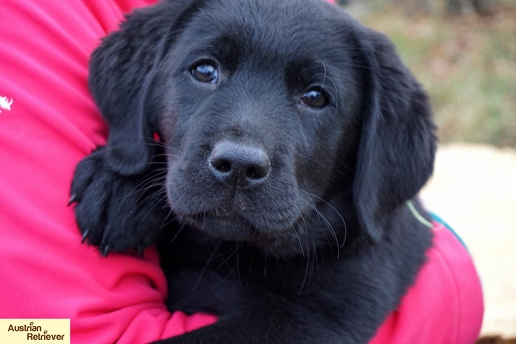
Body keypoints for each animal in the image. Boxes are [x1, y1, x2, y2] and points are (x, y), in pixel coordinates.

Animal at [70, 0, 438, 342]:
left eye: (315, 97)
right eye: (205, 71)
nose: (239, 166)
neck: (227, 252)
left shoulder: (320, 316)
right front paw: (117, 186)